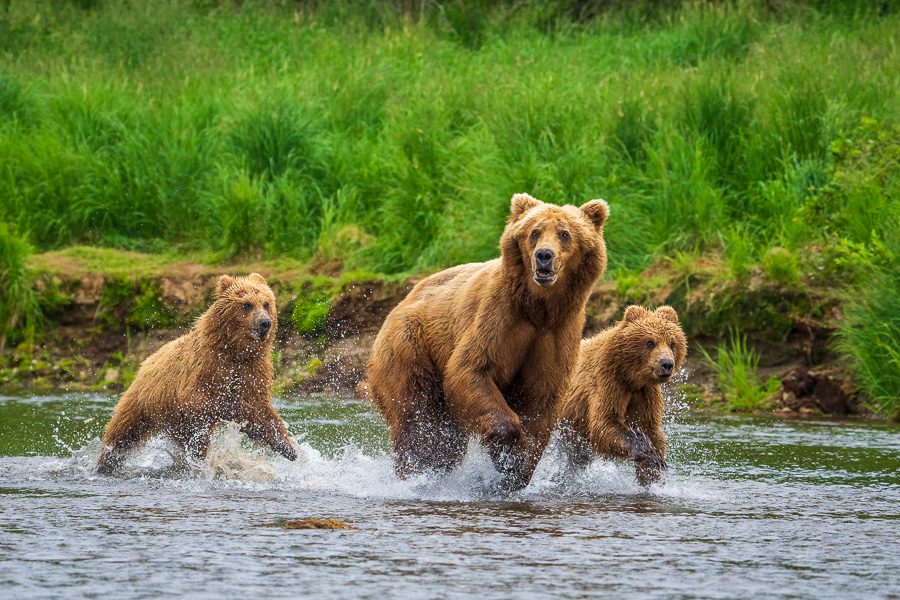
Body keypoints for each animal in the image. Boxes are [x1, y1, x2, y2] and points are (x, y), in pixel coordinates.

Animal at [97, 272, 298, 474]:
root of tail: (147, 360)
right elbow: (204, 407)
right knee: (122, 432)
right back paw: (105, 463)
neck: (235, 351)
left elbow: (260, 410)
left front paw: (288, 447)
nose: (265, 323)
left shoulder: (252, 372)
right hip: (143, 401)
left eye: (266, 303)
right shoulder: (206, 371)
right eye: (247, 304)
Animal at [368, 195, 612, 490]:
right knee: (418, 420)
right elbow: (471, 369)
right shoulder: (498, 318)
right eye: (534, 232)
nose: (544, 256)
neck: (538, 308)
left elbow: (541, 394)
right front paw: (508, 447)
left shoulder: (558, 332)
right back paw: (416, 472)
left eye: (565, 234)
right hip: (410, 346)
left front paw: (519, 465)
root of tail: (401, 302)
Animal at [556, 308, 688, 486]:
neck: (631, 377)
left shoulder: (645, 394)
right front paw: (647, 451)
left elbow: (650, 428)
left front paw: (653, 469)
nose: (666, 364)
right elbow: (605, 422)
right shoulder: (608, 382)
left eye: (672, 343)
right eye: (650, 342)